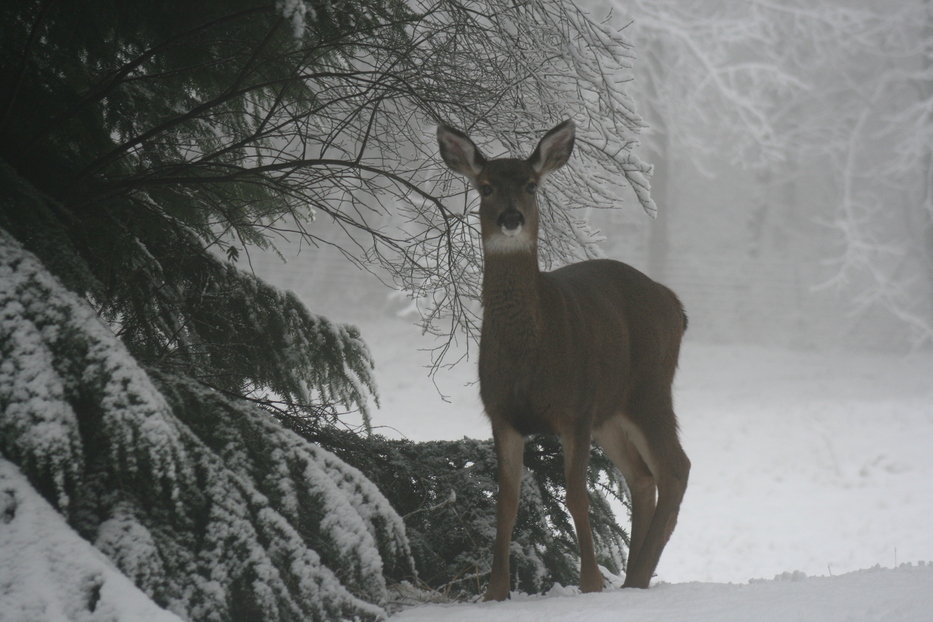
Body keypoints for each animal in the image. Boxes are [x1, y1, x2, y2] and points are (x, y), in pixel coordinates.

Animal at [436, 120, 690, 601]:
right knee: (642, 477)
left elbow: (576, 496)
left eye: (531, 185)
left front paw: (590, 585)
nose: (511, 218)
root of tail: (675, 303)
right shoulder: (502, 413)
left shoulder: (574, 409)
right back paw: (631, 579)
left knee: (675, 468)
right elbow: (506, 502)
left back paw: (638, 577)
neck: (529, 353)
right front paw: (495, 593)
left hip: (648, 387)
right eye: (485, 187)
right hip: (612, 411)